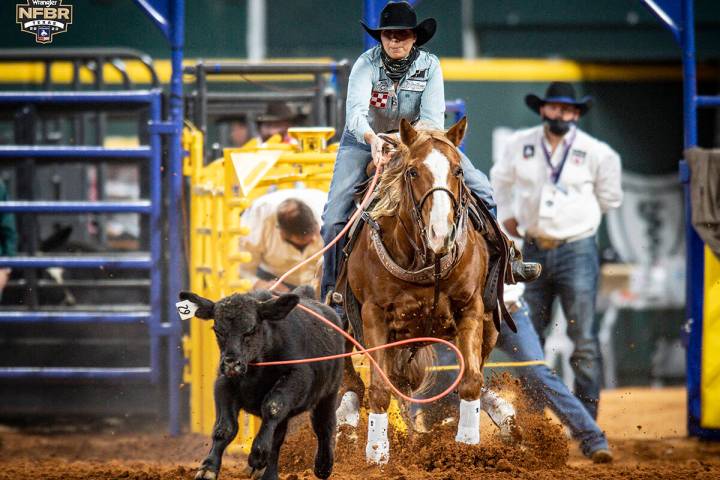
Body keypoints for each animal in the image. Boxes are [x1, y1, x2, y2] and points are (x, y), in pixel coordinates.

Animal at [179, 286, 344, 480]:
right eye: (218, 330)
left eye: (250, 330)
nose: (231, 363)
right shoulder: (223, 385)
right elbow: (225, 427)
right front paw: (208, 468)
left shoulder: (296, 378)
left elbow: (272, 407)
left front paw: (257, 454)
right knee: (278, 437)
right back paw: (270, 474)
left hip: (329, 393)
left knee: (323, 427)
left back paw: (323, 465)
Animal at [340, 118, 498, 464]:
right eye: (412, 172)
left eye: (458, 171)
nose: (441, 234)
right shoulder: (373, 316)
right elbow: (380, 388)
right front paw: (377, 454)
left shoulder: (470, 308)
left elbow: (471, 379)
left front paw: (467, 444)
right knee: (353, 381)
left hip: (490, 324)